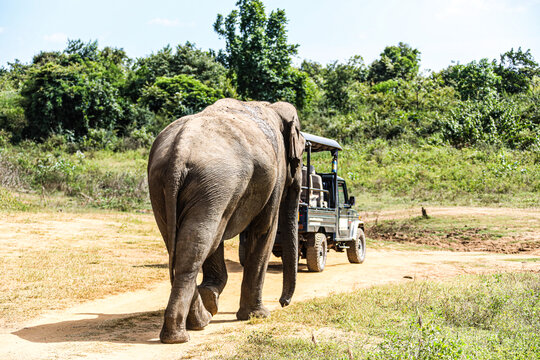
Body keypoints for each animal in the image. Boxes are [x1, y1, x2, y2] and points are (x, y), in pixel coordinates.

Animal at [148, 97, 304, 344]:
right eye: (299, 158)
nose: (283, 303)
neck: (271, 106)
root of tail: (179, 150)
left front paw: (212, 298)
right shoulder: (276, 174)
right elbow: (264, 230)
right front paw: (258, 315)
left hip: (171, 185)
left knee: (184, 244)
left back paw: (198, 320)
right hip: (214, 182)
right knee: (198, 246)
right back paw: (185, 332)